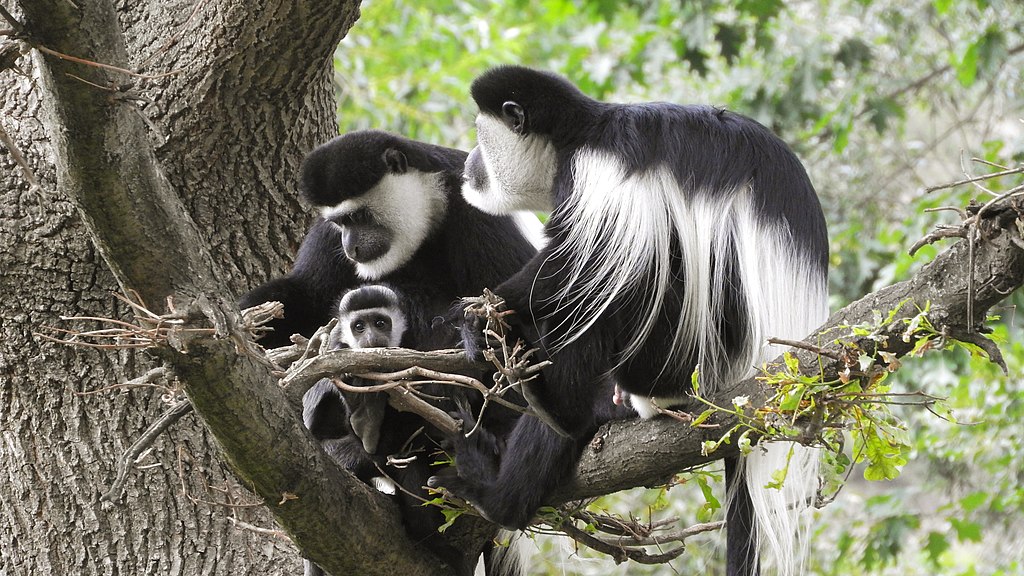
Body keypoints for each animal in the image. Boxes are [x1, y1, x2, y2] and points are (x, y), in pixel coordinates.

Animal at [444, 65, 827, 573]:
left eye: (480, 136)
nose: (469, 162)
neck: (580, 135)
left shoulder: (597, 176)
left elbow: (578, 261)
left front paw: (483, 314)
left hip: (686, 353)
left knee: (630, 278)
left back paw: (530, 450)